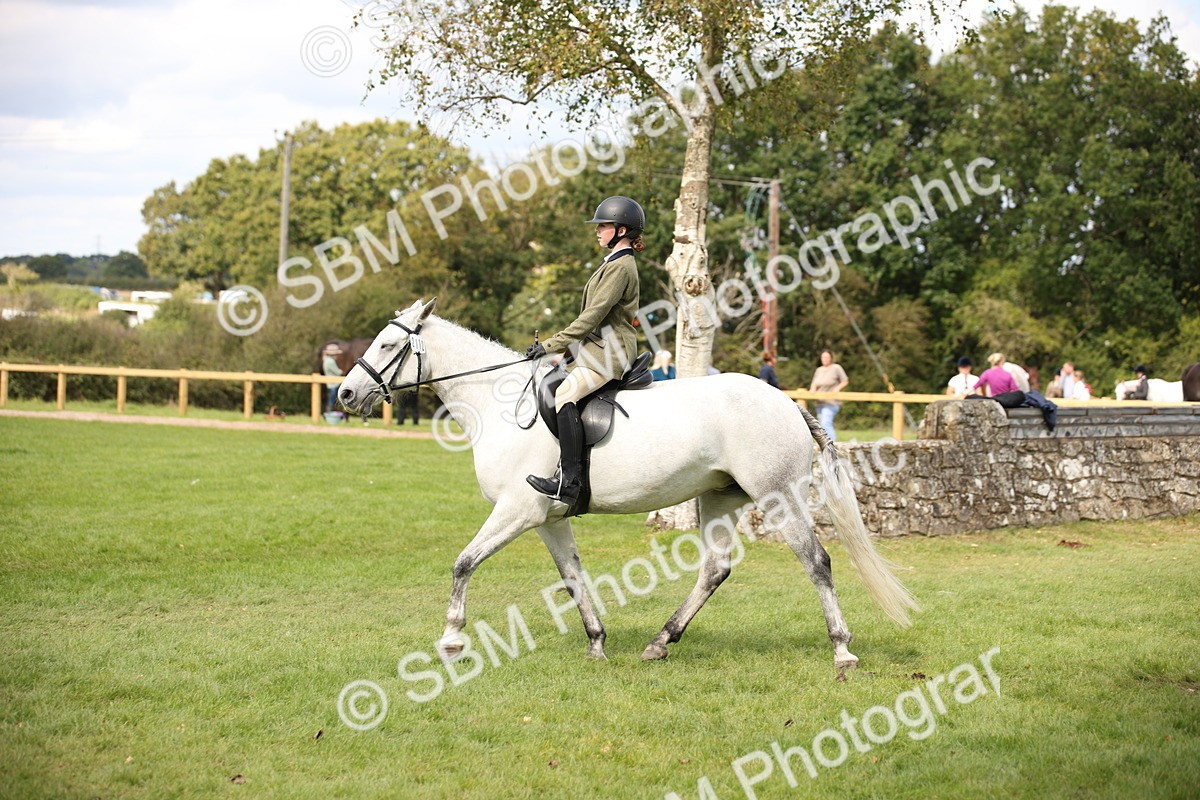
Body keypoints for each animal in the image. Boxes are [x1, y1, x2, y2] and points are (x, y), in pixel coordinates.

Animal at [337, 300, 918, 669]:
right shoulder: (546, 519)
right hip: (719, 497)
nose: (344, 394)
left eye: (387, 344)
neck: (500, 405)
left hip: (779, 496)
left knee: (816, 561)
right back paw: (661, 641)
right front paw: (597, 643)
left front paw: (452, 640)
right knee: (715, 568)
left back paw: (842, 649)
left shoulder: (517, 511)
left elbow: (463, 563)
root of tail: (787, 402)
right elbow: (572, 577)